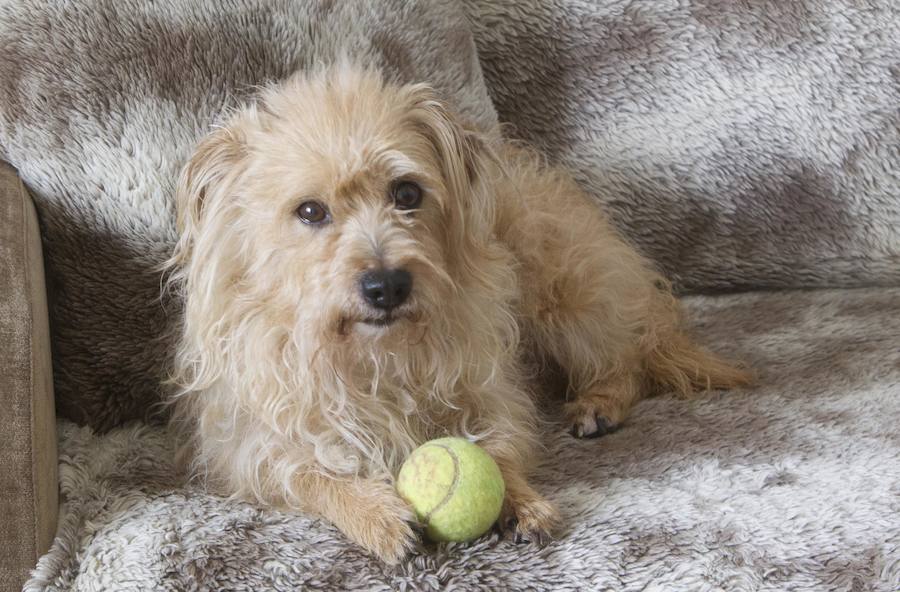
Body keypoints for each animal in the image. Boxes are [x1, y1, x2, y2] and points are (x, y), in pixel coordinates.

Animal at [165, 65, 748, 564]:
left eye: (406, 192)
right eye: (310, 211)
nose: (387, 285)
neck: (375, 355)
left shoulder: (490, 388)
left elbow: (500, 446)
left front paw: (519, 499)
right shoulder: (252, 443)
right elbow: (309, 474)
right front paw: (374, 514)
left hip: (565, 289)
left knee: (626, 360)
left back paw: (600, 401)